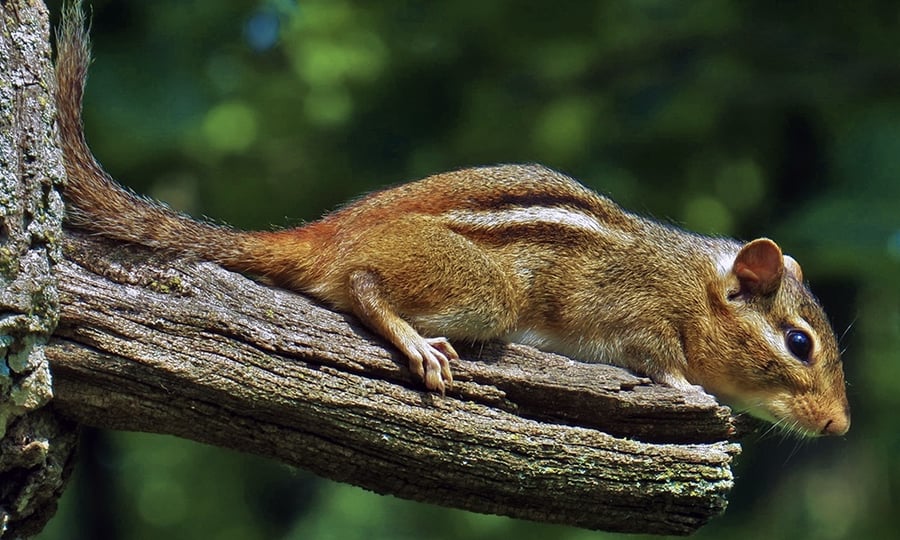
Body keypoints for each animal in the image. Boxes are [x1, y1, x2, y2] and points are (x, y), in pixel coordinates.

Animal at [54, 2, 849, 437]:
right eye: (799, 342)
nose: (840, 424)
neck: (691, 285)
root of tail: (330, 233)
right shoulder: (641, 315)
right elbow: (658, 359)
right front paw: (688, 388)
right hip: (485, 290)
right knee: (362, 285)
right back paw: (412, 339)